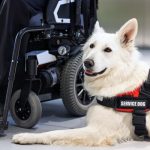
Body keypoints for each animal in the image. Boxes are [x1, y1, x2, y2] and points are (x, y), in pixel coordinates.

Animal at [12, 18, 150, 146]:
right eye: (91, 46)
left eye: (108, 50)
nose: (87, 63)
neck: (119, 79)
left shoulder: (98, 131)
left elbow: (55, 133)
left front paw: (26, 136)